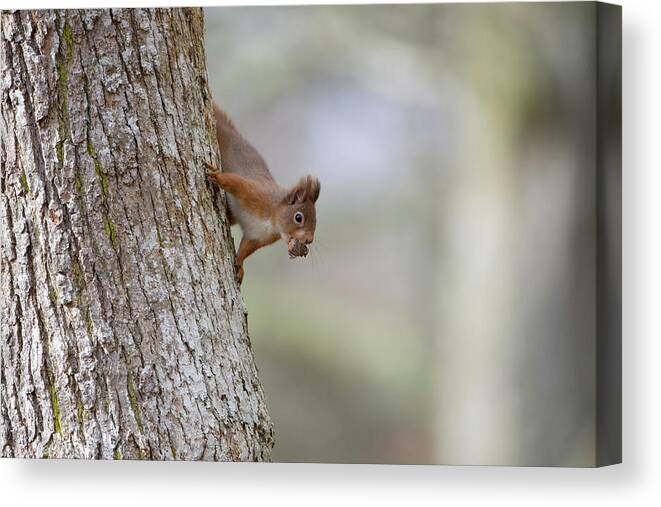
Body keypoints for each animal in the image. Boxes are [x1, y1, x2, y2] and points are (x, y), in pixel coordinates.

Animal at [206, 103, 320, 286]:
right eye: (298, 217)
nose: (309, 240)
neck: (272, 222)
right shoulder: (256, 193)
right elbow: (235, 183)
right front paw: (217, 177)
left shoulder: (256, 237)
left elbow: (246, 248)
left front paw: (240, 266)